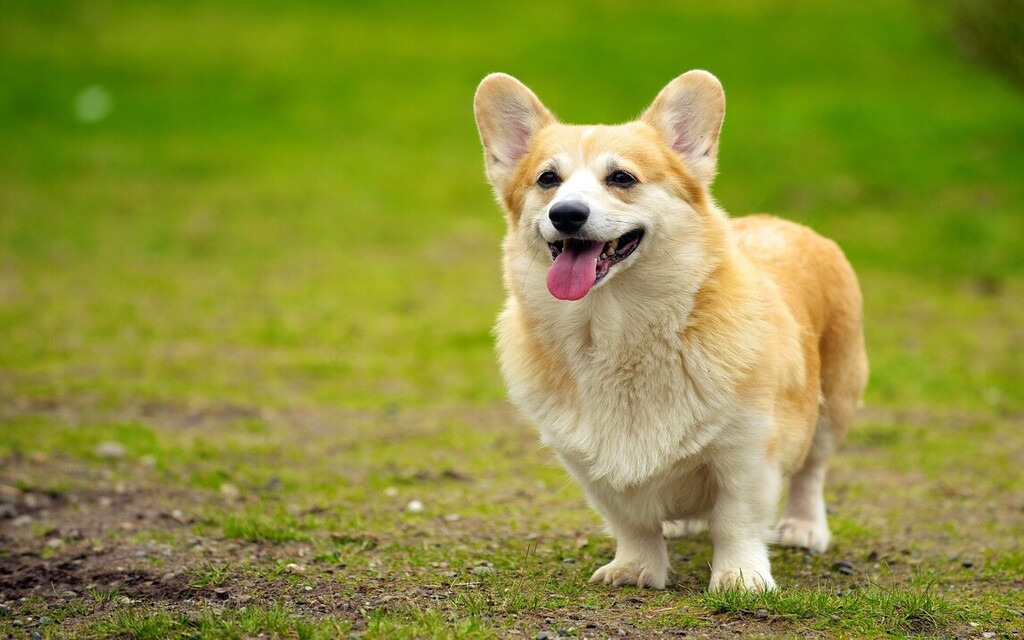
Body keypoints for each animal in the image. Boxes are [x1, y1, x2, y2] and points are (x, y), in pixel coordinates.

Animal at [471, 68, 864, 589]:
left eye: (622, 178)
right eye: (547, 180)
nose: (566, 214)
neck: (615, 328)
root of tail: (787, 223)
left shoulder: (747, 450)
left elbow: (737, 521)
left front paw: (740, 577)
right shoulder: (592, 467)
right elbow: (632, 522)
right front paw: (636, 569)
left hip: (835, 401)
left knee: (812, 471)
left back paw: (803, 527)